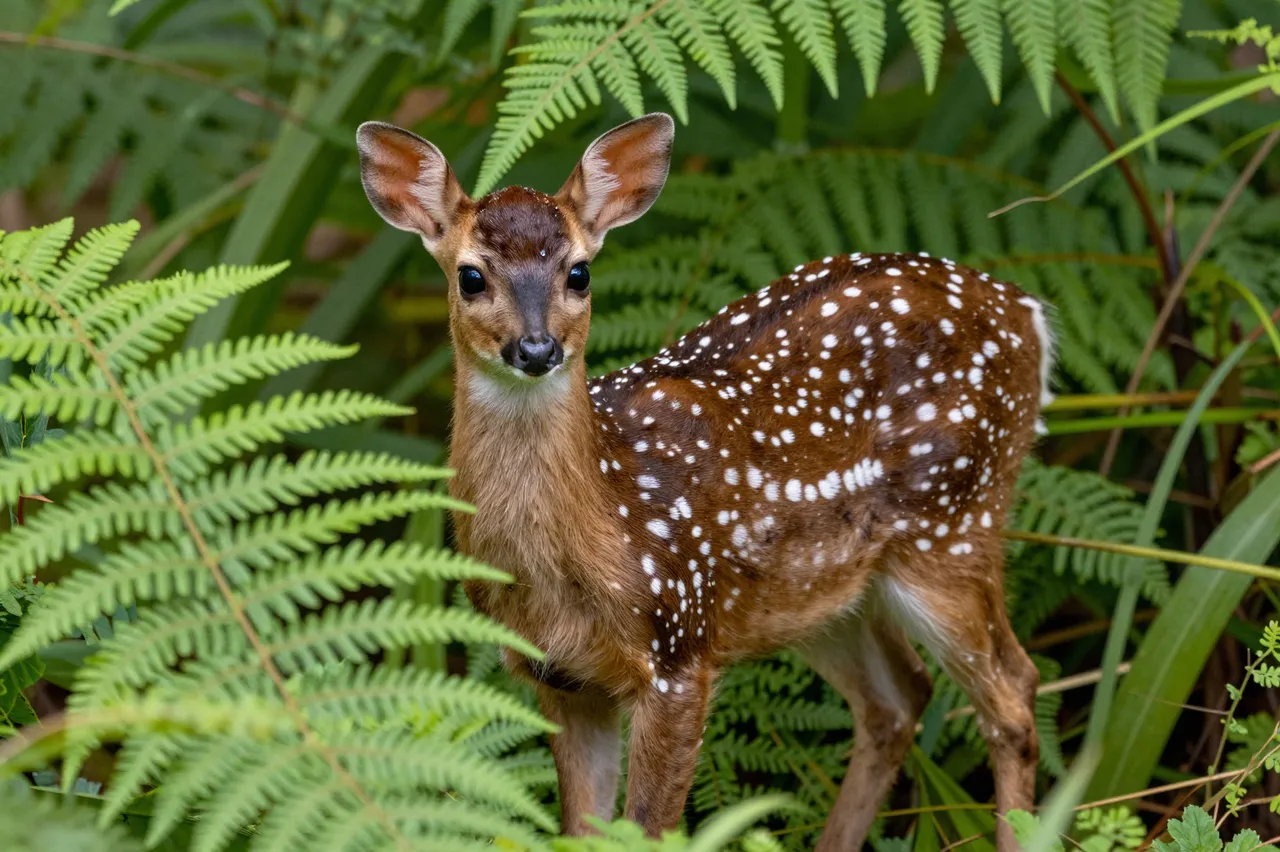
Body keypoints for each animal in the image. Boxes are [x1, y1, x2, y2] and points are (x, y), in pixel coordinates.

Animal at [355, 112, 1055, 851]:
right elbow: (582, 829)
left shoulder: (678, 650)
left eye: (579, 272)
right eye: (470, 277)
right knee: (897, 698)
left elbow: (648, 830)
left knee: (1014, 691)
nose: (538, 349)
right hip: (814, 591)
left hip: (955, 522)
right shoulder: (563, 678)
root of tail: (1029, 312)